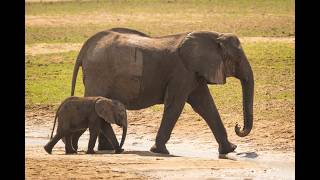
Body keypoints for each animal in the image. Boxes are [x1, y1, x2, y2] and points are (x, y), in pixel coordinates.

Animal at [71, 27, 254, 154]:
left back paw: (107, 149)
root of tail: (85, 48)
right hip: (98, 74)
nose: (238, 126)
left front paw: (230, 149)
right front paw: (159, 151)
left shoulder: (193, 73)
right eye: (237, 59)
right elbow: (175, 105)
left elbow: (206, 105)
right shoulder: (182, 72)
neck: (214, 35)